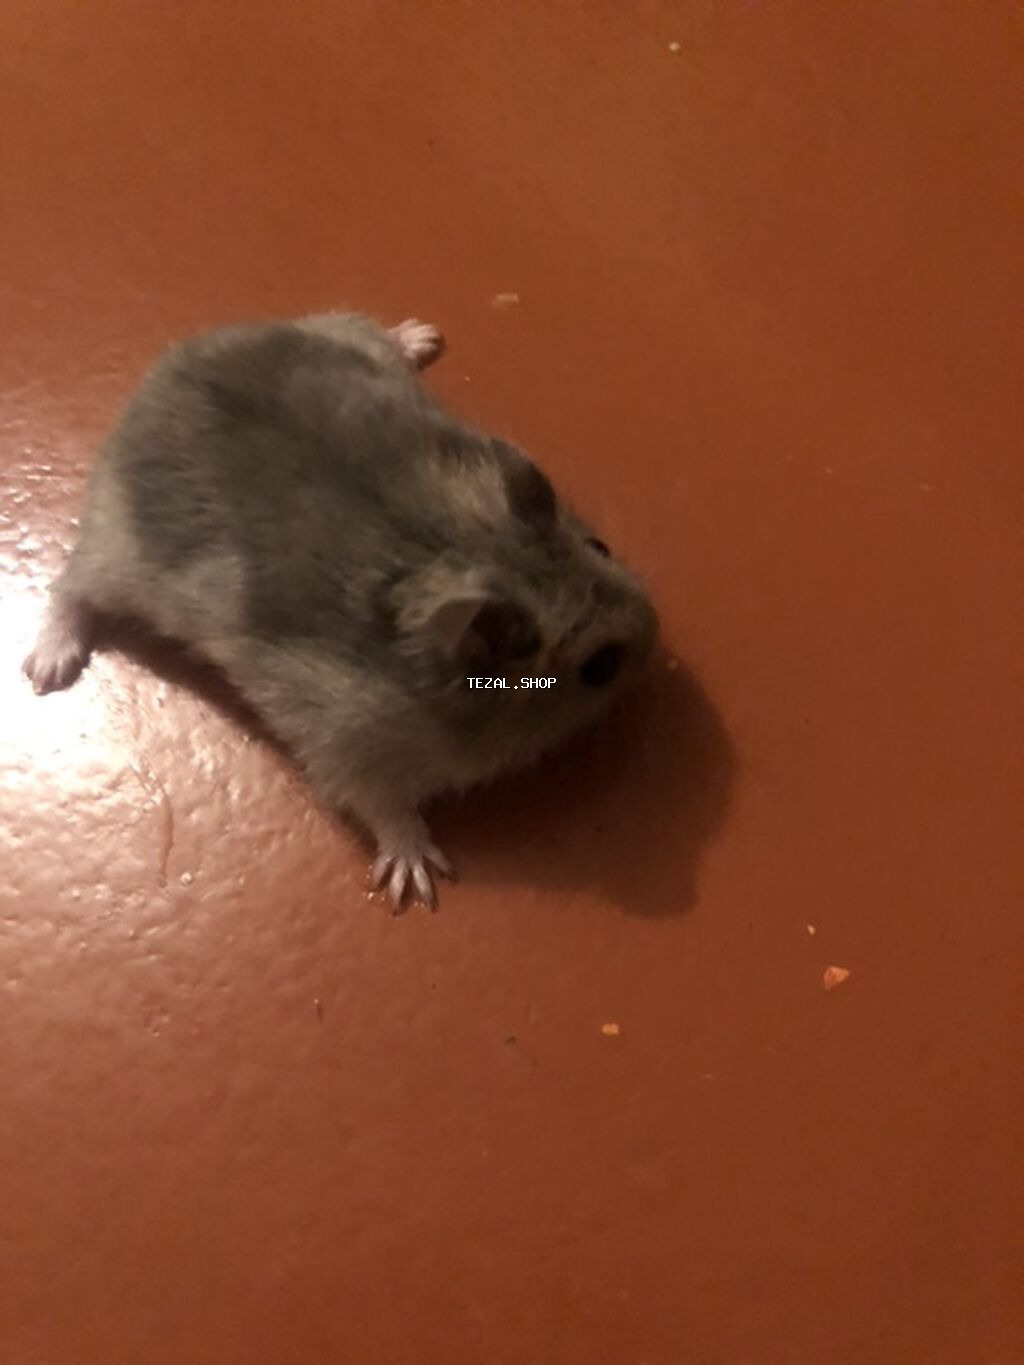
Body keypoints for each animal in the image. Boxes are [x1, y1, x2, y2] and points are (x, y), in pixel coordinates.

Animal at [24, 312, 658, 908]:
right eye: (601, 666)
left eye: (602, 546)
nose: (658, 642)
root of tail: (160, 373)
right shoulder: (351, 756)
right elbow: (388, 812)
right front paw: (418, 882)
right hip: (114, 558)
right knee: (68, 590)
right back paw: (46, 671)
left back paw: (420, 337)